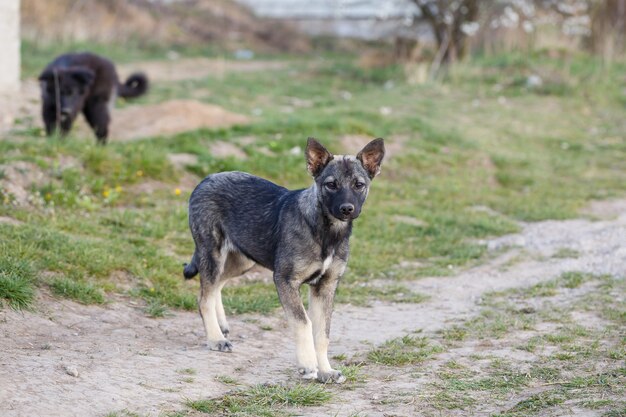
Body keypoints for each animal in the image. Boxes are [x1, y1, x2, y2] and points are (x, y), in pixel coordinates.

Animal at [183, 137, 382, 384]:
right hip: (213, 253)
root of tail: (205, 180)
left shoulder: (325, 287)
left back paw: (221, 327)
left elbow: (322, 333)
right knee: (204, 297)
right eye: (331, 185)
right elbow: (304, 322)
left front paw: (325, 370)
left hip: (243, 259)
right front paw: (308, 365)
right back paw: (215, 339)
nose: (347, 209)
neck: (326, 232)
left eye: (359, 184)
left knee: (215, 287)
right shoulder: (285, 280)